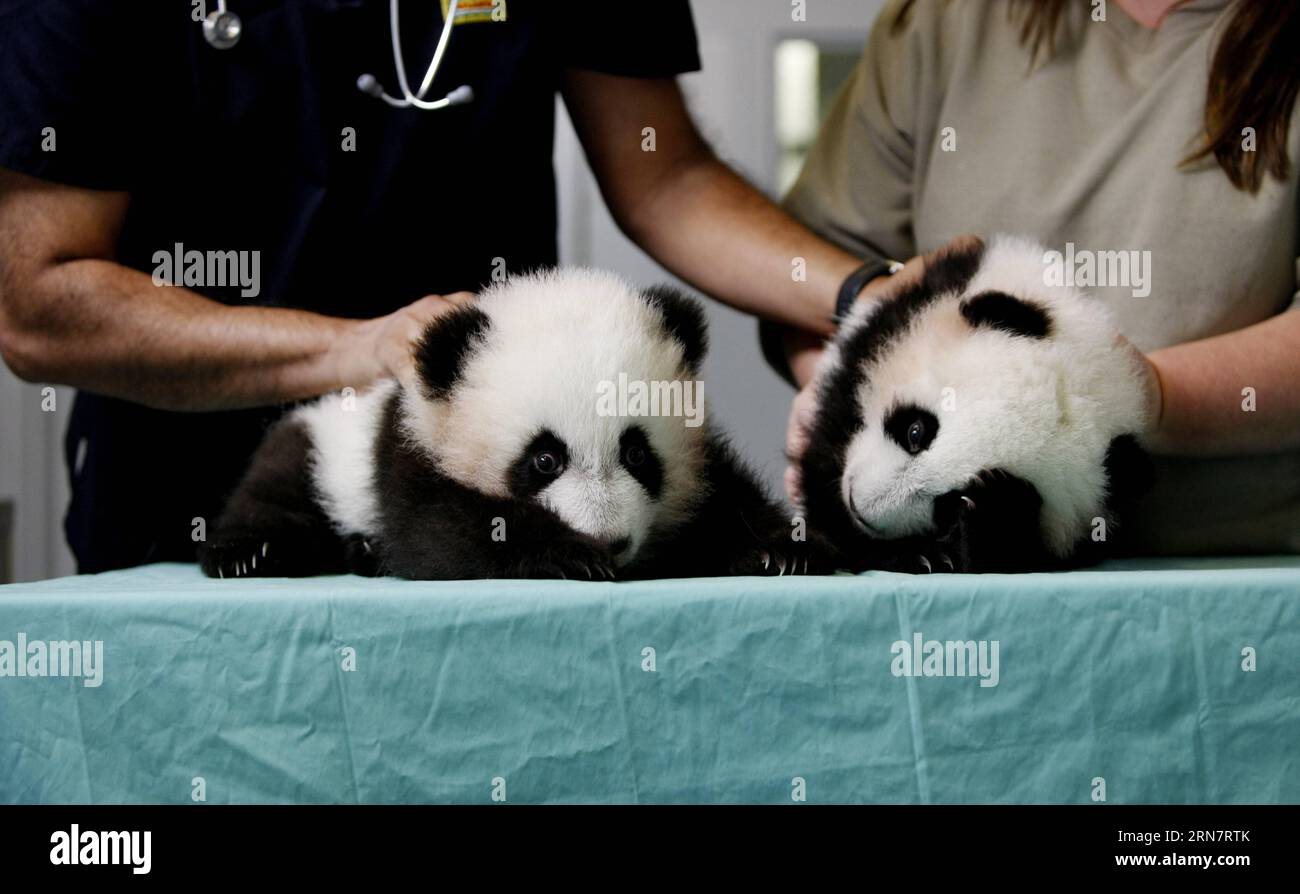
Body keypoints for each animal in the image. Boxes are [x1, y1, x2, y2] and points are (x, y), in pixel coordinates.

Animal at [200, 269, 820, 580]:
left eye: (637, 453)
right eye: (545, 459)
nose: (608, 542)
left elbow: (724, 496)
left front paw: (779, 549)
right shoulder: (412, 444)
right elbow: (440, 534)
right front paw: (568, 553)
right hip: (324, 445)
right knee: (279, 481)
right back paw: (250, 553)